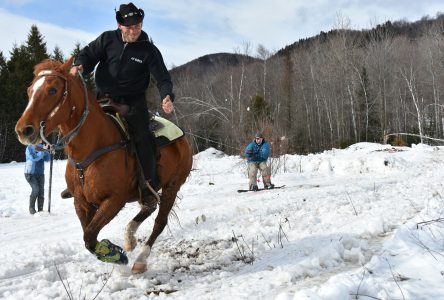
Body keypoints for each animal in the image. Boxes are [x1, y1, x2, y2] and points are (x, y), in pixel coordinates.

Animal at [16, 56, 193, 274]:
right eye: (29, 90)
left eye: (52, 90)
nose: (24, 130)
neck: (93, 147)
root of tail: (182, 137)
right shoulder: (81, 202)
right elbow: (88, 235)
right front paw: (113, 252)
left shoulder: (113, 200)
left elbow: (90, 235)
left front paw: (115, 254)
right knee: (149, 206)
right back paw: (129, 237)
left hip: (172, 187)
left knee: (159, 221)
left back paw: (141, 259)